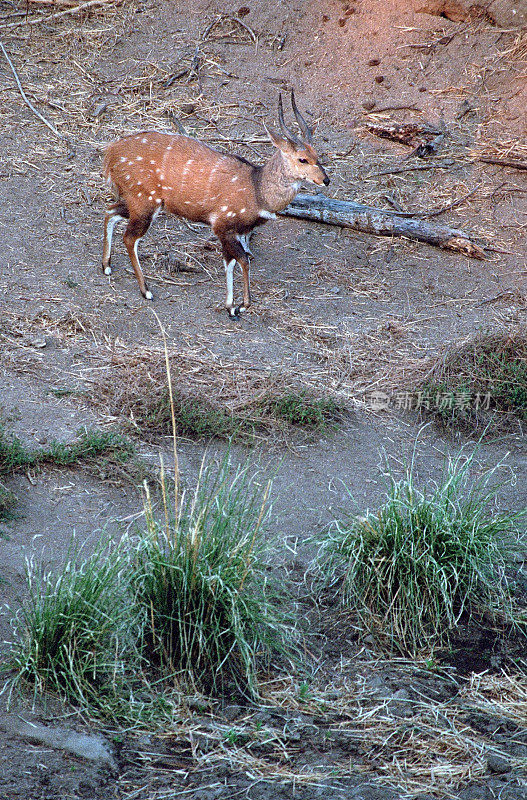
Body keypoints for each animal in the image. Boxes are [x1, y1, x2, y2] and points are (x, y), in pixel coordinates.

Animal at [101, 92, 328, 318]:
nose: (326, 180)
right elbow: (243, 260)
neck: (257, 190)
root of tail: (110, 154)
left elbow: (230, 263)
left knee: (110, 211)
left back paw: (106, 266)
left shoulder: (233, 231)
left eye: (317, 155)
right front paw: (243, 305)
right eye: (302, 159)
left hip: (137, 201)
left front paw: (230, 307)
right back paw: (146, 290)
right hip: (145, 202)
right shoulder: (223, 226)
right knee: (129, 237)